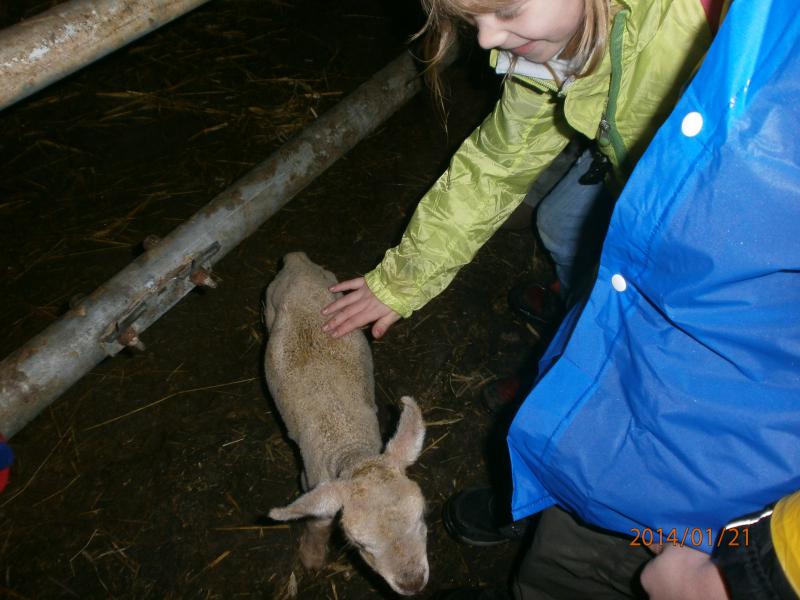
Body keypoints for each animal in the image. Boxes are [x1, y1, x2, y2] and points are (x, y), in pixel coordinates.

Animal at [264, 250, 428, 596]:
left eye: (422, 516)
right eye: (359, 545)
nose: (412, 583)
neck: (350, 446)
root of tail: (296, 260)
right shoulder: (311, 478)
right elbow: (318, 520)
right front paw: (312, 556)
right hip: (268, 306)